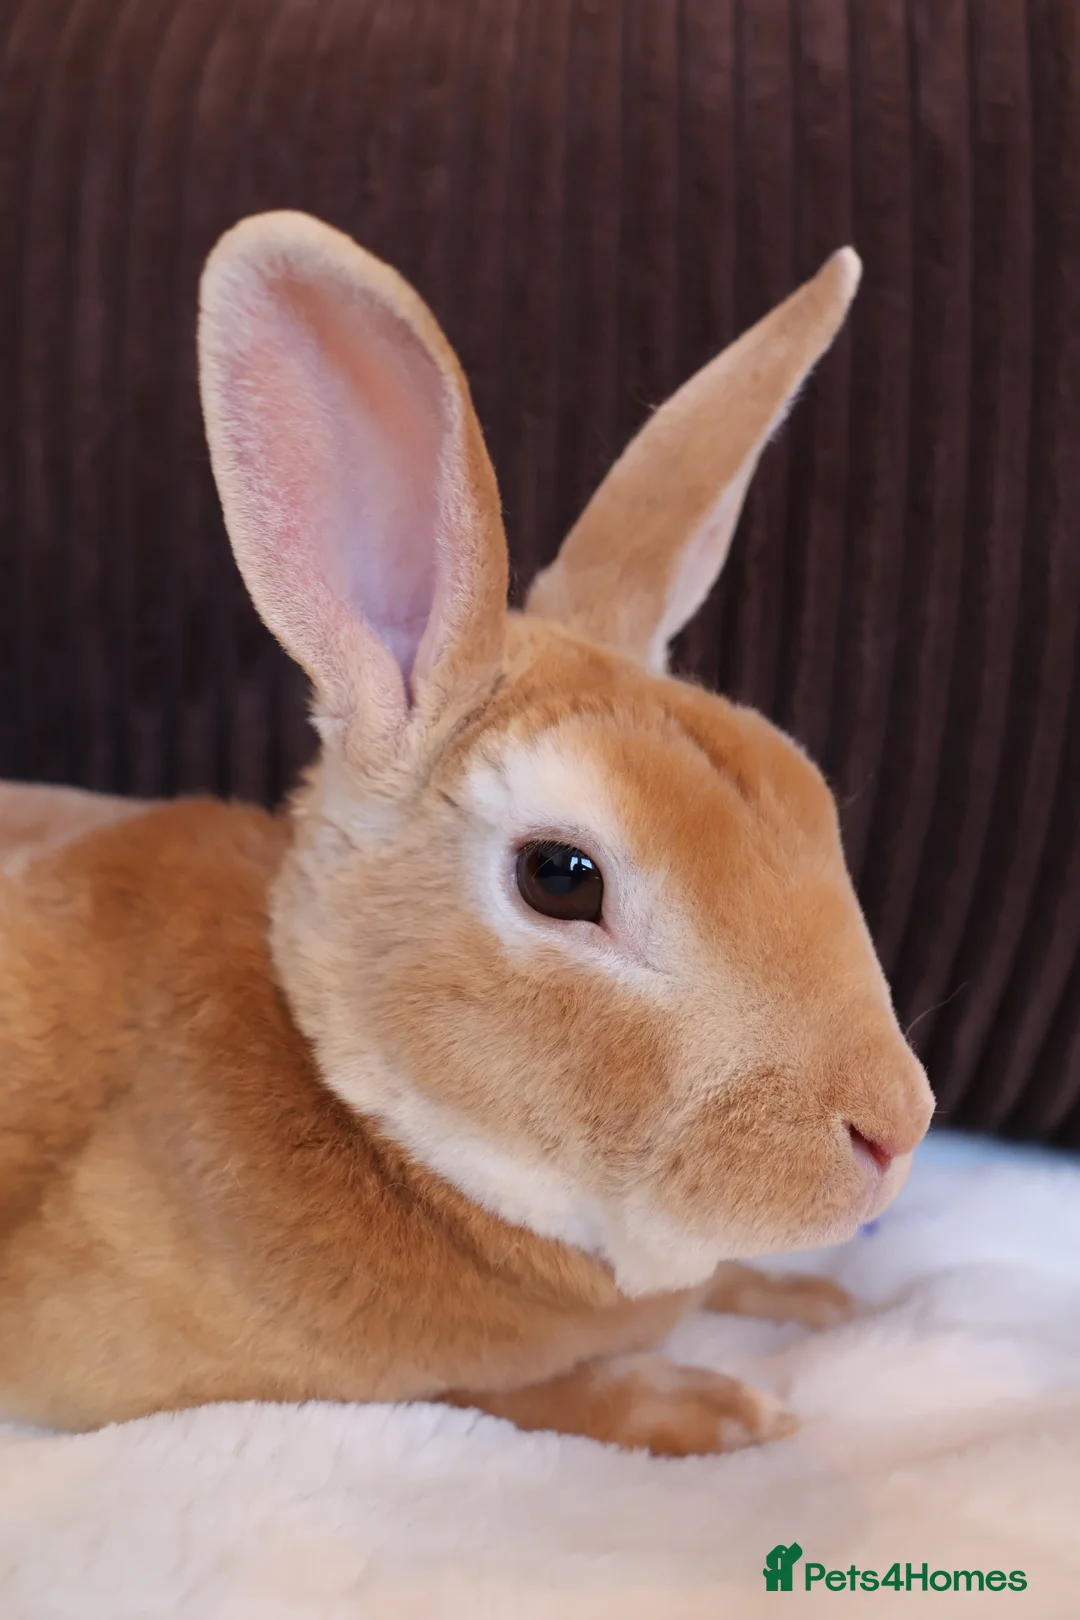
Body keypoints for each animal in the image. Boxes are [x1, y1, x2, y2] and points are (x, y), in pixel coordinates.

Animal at [0, 212, 934, 1456]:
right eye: (562, 877)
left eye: (812, 794)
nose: (897, 1130)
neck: (372, 1120)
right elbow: (511, 1390)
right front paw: (715, 1407)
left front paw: (807, 1298)